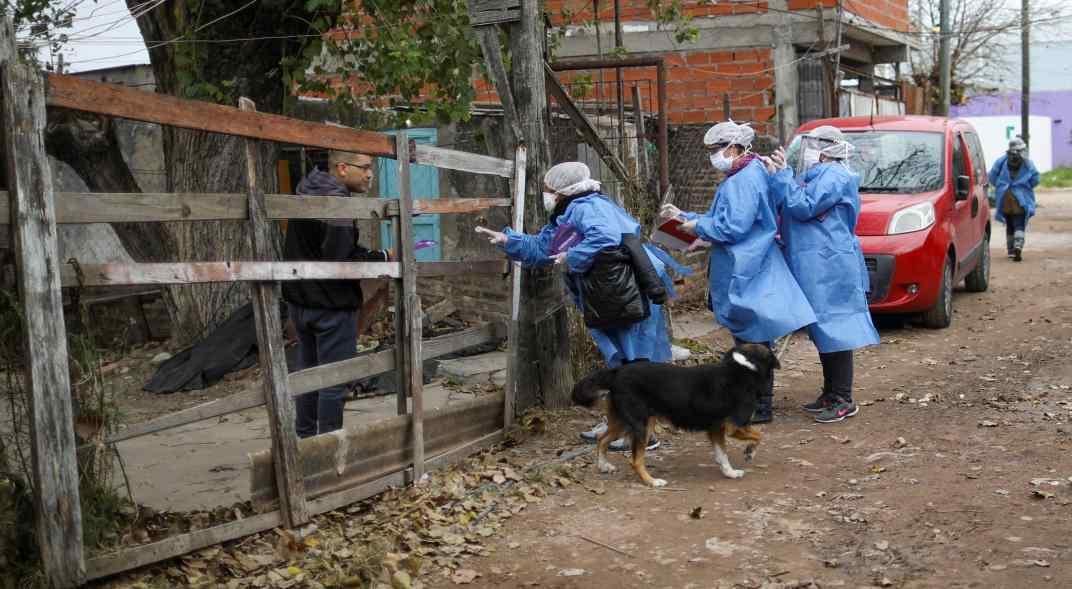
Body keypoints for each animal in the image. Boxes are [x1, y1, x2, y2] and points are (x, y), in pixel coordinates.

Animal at [570, 339, 780, 487]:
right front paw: (749, 452)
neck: (743, 368)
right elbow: (759, 435)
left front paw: (729, 472)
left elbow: (722, 454)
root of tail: (617, 372)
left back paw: (604, 466)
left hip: (622, 421)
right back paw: (652, 482)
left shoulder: (716, 428)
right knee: (635, 460)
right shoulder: (734, 426)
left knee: (602, 439)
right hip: (642, 425)